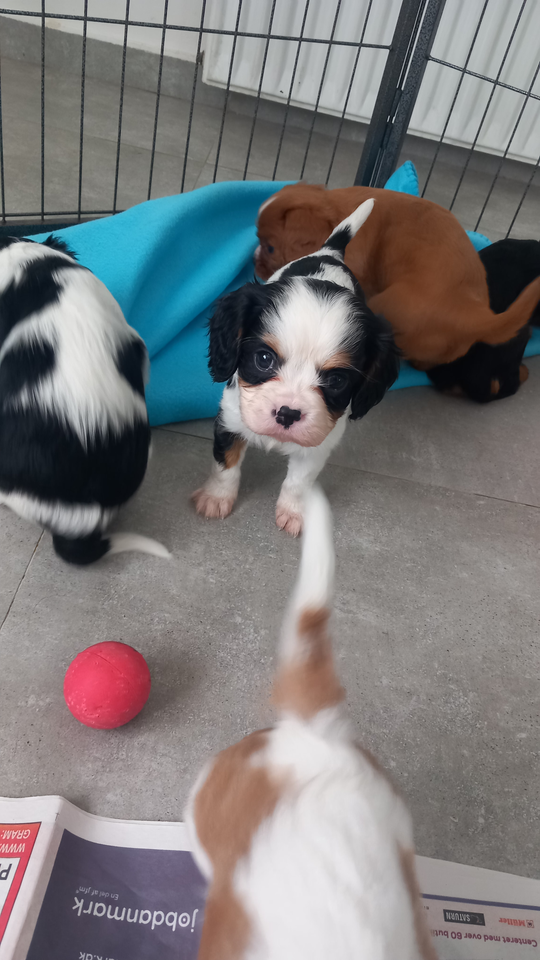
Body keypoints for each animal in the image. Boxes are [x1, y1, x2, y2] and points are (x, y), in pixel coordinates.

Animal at [192, 199, 398, 536]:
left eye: (337, 380)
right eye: (264, 359)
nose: (287, 413)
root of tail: (329, 252)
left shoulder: (319, 443)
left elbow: (299, 482)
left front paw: (293, 513)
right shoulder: (230, 419)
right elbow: (226, 465)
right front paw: (216, 498)